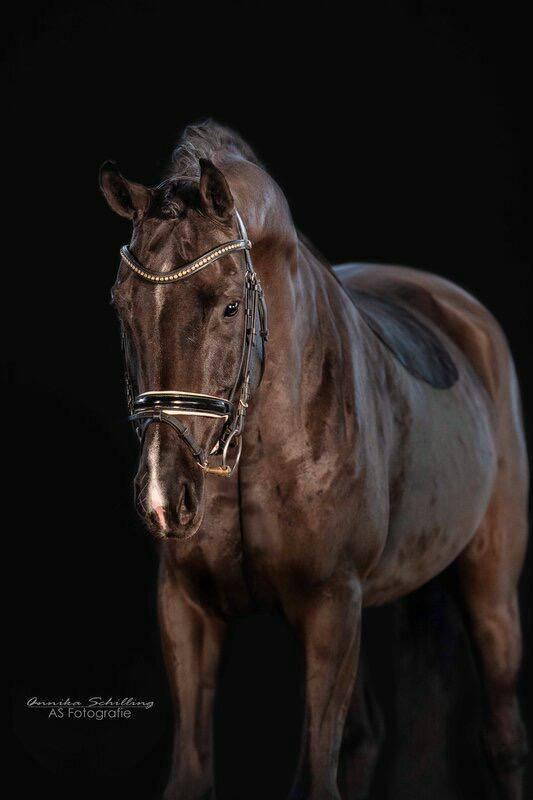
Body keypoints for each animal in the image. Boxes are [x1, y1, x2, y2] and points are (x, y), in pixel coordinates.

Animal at [100, 121, 528, 800]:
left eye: (230, 305)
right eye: (122, 305)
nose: (165, 498)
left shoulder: (330, 605)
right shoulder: (188, 607)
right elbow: (193, 774)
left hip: (490, 588)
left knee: (503, 736)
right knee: (365, 737)